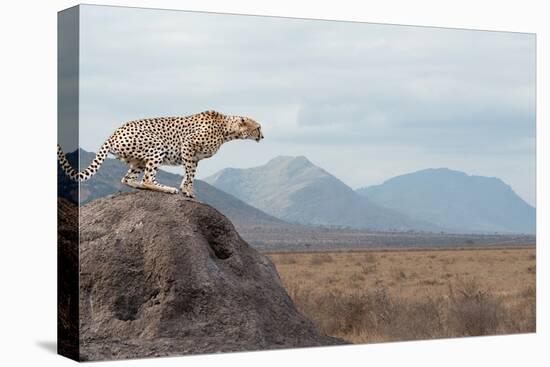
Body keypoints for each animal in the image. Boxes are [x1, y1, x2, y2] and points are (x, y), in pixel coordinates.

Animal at [57, 110, 264, 198]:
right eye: (258, 127)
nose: (263, 135)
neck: (226, 129)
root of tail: (115, 132)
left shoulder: (194, 156)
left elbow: (189, 173)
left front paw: (185, 188)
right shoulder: (188, 145)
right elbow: (190, 173)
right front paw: (186, 190)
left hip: (138, 160)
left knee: (128, 178)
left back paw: (140, 186)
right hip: (156, 146)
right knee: (148, 178)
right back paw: (166, 188)